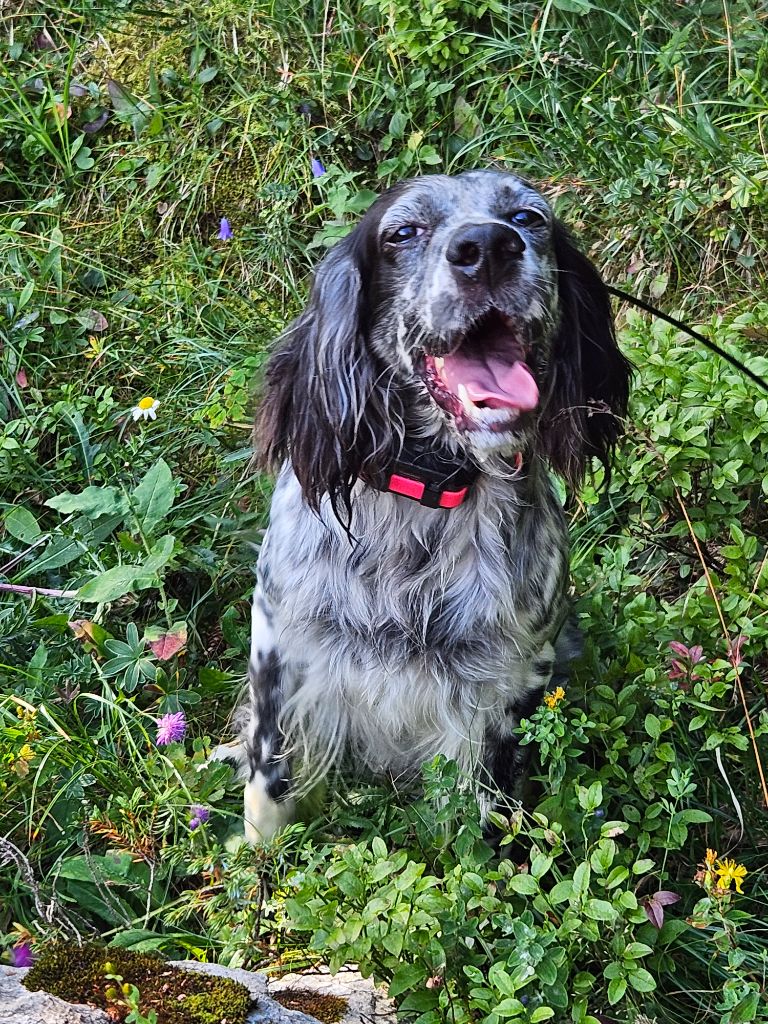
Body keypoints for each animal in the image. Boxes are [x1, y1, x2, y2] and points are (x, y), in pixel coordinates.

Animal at [230, 167, 630, 839]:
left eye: (528, 218)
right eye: (404, 232)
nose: (488, 247)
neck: (426, 501)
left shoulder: (511, 679)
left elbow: (488, 815)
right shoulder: (282, 650)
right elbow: (269, 781)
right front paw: (258, 861)